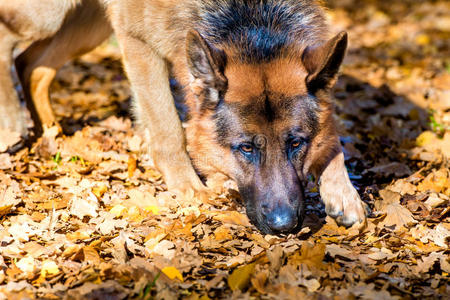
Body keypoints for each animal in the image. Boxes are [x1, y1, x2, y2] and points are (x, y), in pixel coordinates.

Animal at [0, 0, 366, 234]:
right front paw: (190, 189)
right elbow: (168, 128)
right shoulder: (138, 44)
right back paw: (13, 126)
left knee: (32, 65)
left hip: (87, 28)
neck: (253, 23)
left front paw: (344, 192)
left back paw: (53, 135)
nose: (284, 225)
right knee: (9, 42)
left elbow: (332, 137)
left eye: (296, 143)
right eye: (246, 148)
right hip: (47, 15)